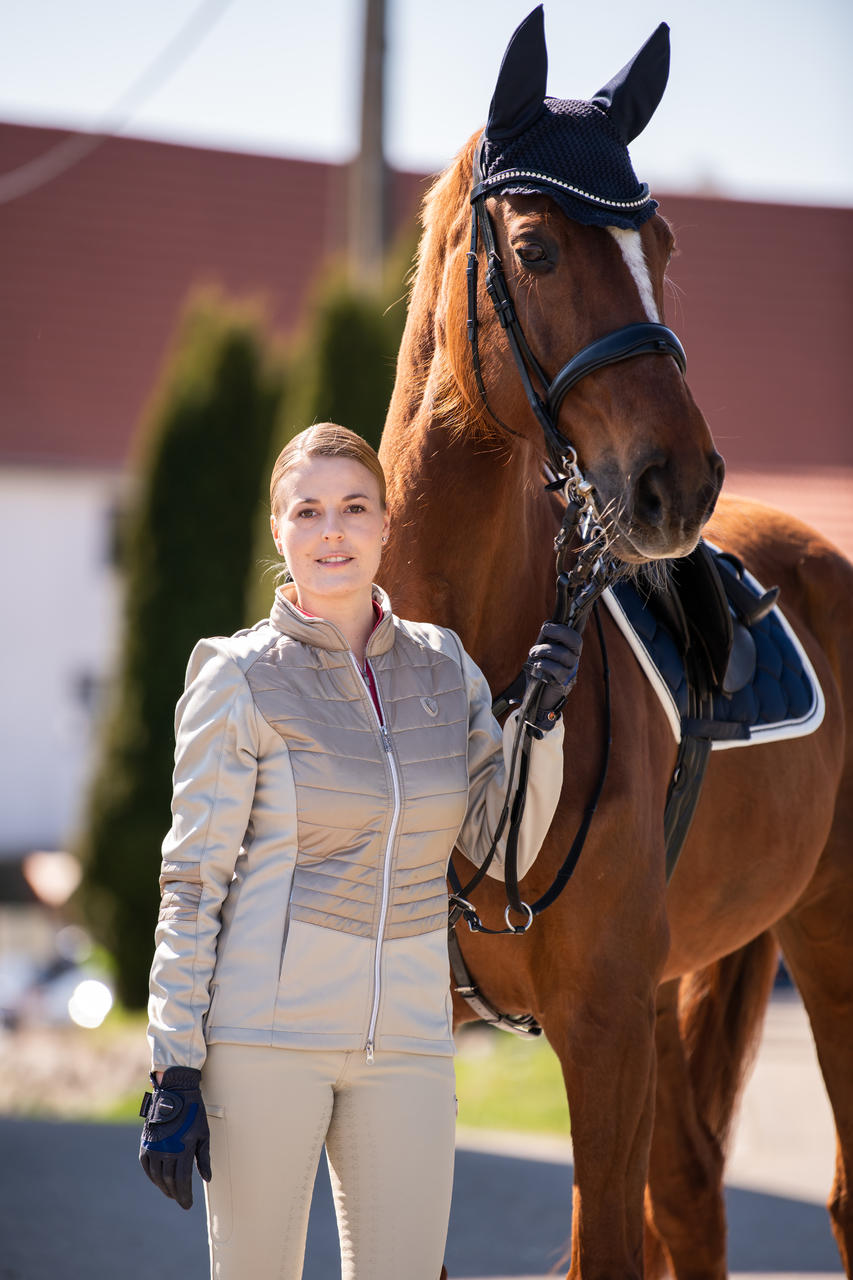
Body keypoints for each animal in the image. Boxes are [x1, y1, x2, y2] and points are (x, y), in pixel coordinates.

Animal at [376, 10, 845, 1280]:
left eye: (662, 244)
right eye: (536, 250)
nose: (679, 480)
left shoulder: (600, 1030)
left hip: (824, 942)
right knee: (690, 1192)